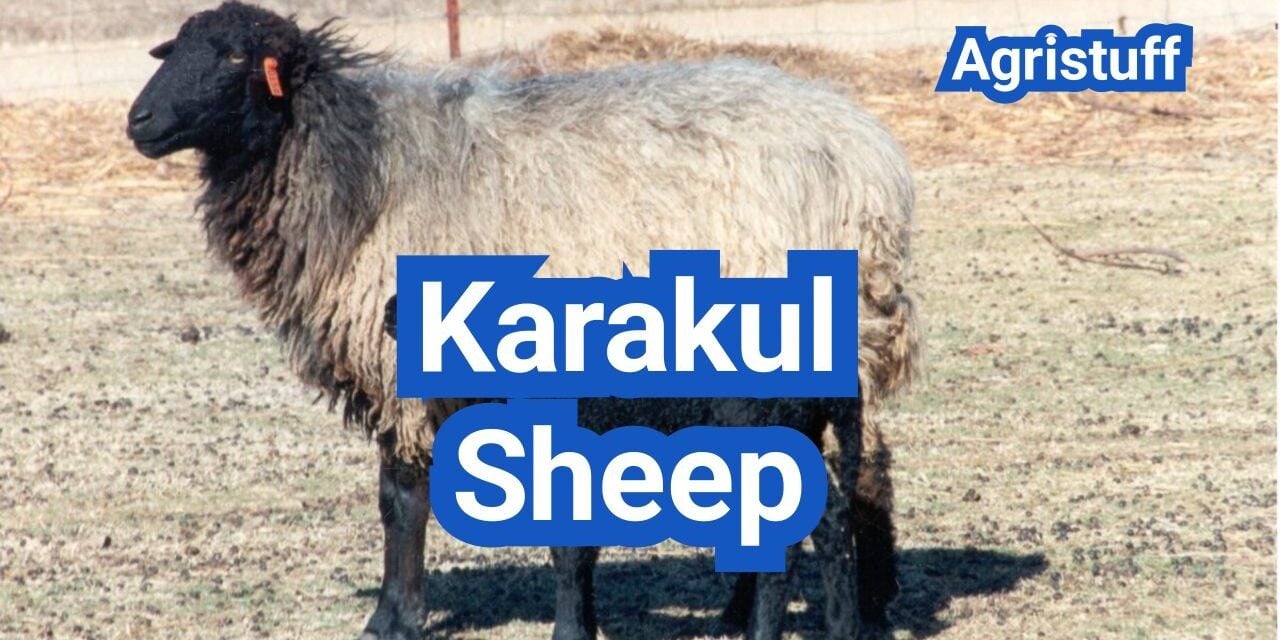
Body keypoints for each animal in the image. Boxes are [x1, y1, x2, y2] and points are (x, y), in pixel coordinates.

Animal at [125, 3, 918, 639]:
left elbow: (401, 498)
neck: (360, 163)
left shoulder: (403, 366)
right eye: (175, 47)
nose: (140, 121)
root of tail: (870, 156)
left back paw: (852, 607)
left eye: (235, 57)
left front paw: (393, 617)